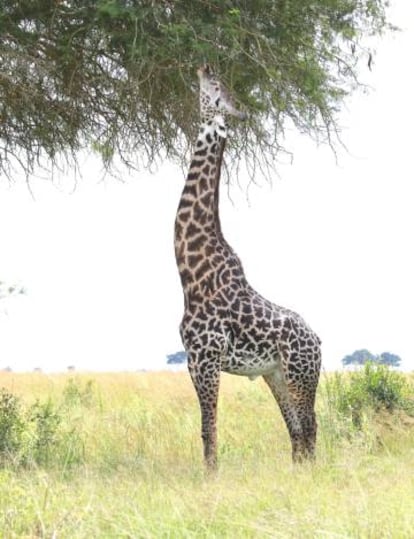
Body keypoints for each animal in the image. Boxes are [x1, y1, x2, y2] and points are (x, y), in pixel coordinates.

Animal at [173, 65, 322, 470]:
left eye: (215, 86)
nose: (203, 66)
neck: (192, 275)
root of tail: (318, 340)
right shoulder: (192, 360)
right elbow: (207, 428)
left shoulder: (205, 358)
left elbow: (208, 428)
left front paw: (211, 477)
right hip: (276, 375)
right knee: (297, 431)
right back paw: (297, 472)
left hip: (301, 374)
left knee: (310, 426)